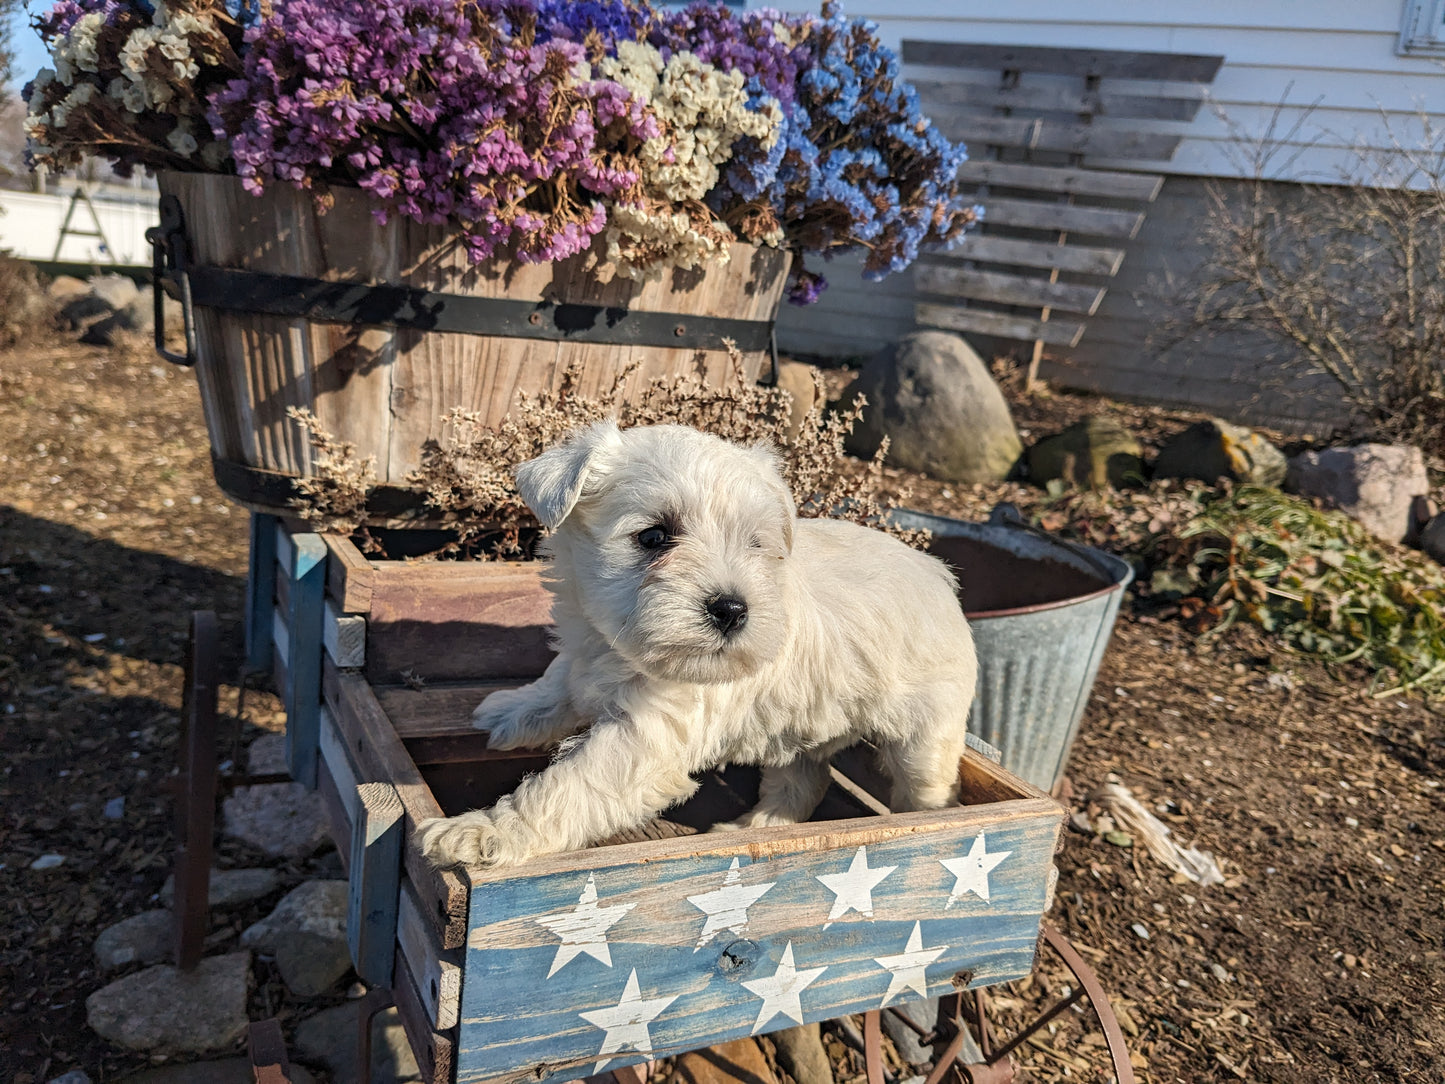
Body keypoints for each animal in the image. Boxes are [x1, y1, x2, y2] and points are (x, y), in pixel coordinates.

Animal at [419, 419, 982, 872]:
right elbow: (559, 681)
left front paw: (482, 832)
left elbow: (567, 787)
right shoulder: (586, 649)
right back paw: (756, 827)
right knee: (803, 779)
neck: (620, 649)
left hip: (924, 739)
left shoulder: (644, 738)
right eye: (653, 537)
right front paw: (512, 711)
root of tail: (940, 574)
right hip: (800, 719)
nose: (732, 609)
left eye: (757, 544)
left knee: (930, 788)